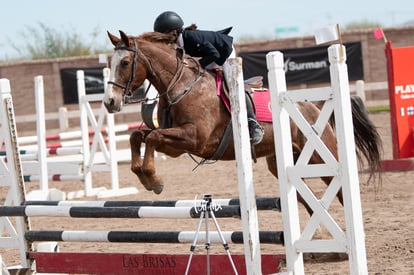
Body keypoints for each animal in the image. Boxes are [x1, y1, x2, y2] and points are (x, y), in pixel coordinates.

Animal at [103, 30, 382, 216]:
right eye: (110, 64)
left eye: (125, 63)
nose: (109, 102)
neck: (181, 83)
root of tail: (314, 105)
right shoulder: (176, 145)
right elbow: (138, 136)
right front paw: (145, 176)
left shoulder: (194, 138)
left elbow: (151, 136)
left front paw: (153, 180)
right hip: (282, 162)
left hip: (320, 154)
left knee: (341, 188)